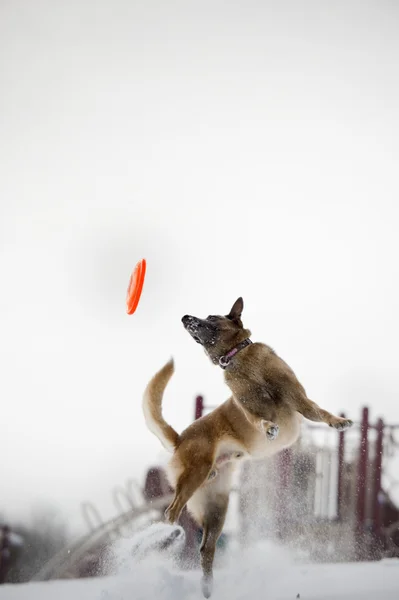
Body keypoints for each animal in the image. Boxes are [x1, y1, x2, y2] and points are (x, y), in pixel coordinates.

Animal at [143, 298, 354, 596]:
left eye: (211, 316)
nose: (185, 317)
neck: (237, 359)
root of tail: (180, 439)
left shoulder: (300, 400)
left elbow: (320, 412)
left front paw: (339, 422)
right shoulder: (251, 410)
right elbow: (261, 418)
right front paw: (269, 428)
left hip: (217, 507)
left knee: (205, 548)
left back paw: (207, 587)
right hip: (194, 476)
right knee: (170, 513)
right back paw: (165, 536)